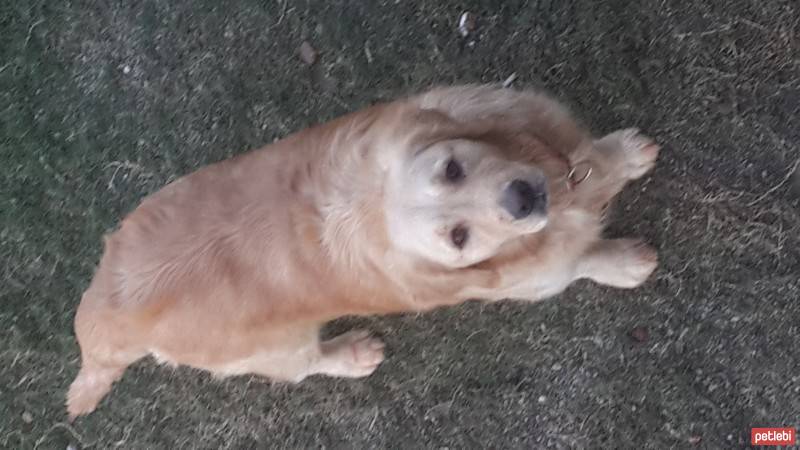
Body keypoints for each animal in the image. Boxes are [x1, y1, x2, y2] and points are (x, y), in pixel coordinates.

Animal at [67, 84, 656, 418]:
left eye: (453, 168)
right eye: (458, 238)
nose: (523, 197)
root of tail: (101, 311)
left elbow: (597, 158)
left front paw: (624, 154)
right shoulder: (534, 277)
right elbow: (580, 263)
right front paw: (624, 263)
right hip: (277, 347)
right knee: (304, 367)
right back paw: (352, 354)